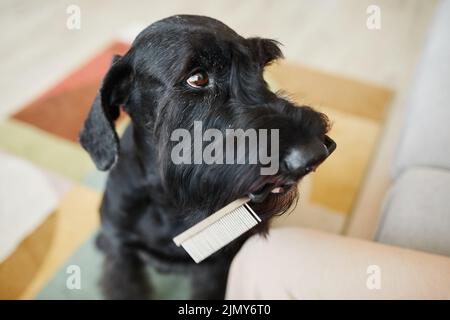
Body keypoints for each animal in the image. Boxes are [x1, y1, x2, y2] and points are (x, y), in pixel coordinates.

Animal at [80, 15, 334, 300]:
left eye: (260, 67)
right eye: (198, 78)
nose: (316, 153)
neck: (168, 199)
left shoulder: (214, 267)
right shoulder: (122, 255)